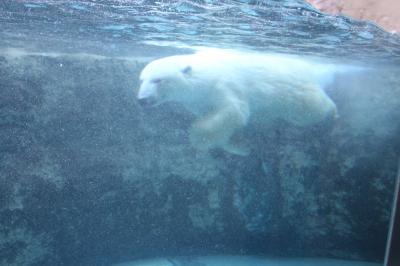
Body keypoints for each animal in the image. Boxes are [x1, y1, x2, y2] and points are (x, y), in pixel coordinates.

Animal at [138, 48, 338, 155]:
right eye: (142, 79)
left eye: (158, 80)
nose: (142, 100)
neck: (204, 77)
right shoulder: (198, 101)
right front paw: (240, 147)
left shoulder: (224, 84)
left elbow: (234, 111)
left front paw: (200, 139)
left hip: (294, 93)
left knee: (311, 109)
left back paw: (332, 112)